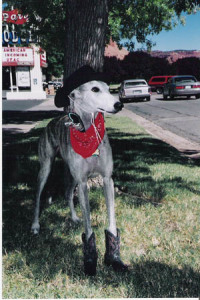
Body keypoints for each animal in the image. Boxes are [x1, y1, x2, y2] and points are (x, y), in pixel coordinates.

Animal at [31, 78, 128, 276]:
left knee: (68, 193)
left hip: (71, 174)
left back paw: (74, 217)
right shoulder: (83, 183)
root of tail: (52, 121)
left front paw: (113, 258)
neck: (88, 132)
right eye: (95, 89)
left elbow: (111, 218)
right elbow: (88, 223)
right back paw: (35, 225)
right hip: (46, 168)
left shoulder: (107, 179)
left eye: (109, 89)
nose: (119, 104)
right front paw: (90, 259)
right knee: (37, 195)